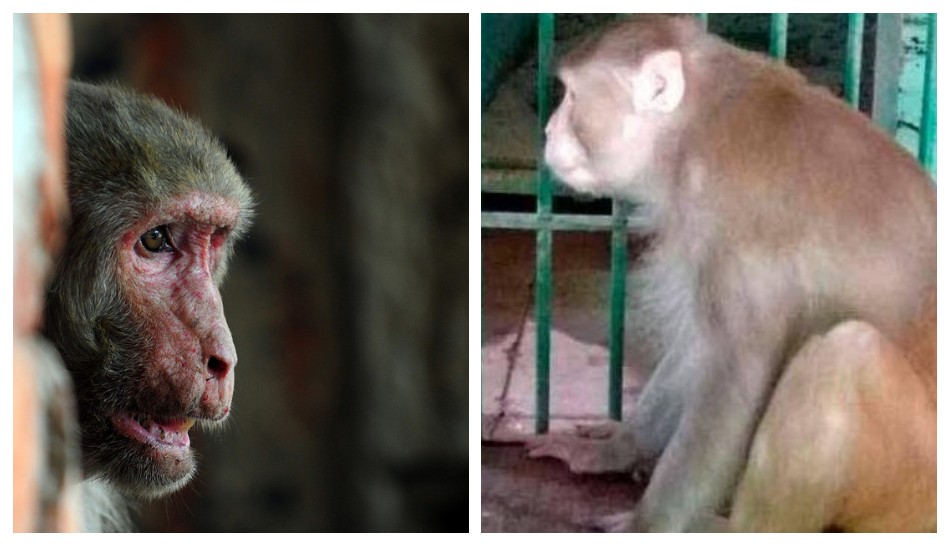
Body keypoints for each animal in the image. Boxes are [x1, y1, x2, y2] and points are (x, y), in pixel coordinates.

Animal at [532, 15, 935, 532]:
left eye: (571, 96)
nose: (548, 129)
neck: (694, 126)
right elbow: (699, 345)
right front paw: (615, 450)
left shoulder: (734, 222)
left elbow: (732, 371)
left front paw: (648, 524)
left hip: (913, 481)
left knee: (845, 353)